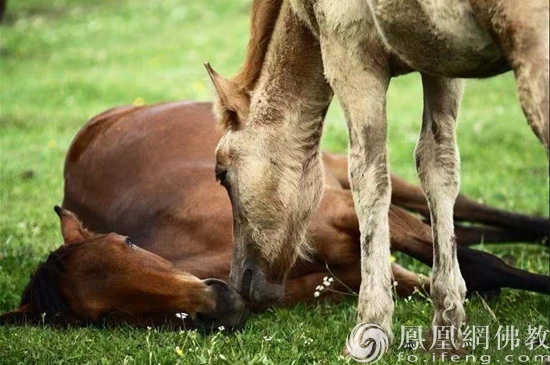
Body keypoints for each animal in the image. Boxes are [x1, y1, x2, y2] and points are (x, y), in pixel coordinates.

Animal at [0, 100, 548, 330]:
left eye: (128, 243)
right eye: (105, 316)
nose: (218, 303)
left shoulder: (346, 212)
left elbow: (480, 267)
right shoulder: (366, 273)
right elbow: (455, 272)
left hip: (342, 168)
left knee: (462, 209)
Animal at [205, 0, 548, 348]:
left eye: (222, 174)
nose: (239, 281)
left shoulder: (351, 57)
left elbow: (369, 180)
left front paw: (372, 322)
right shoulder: (440, 68)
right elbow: (438, 168)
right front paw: (447, 321)